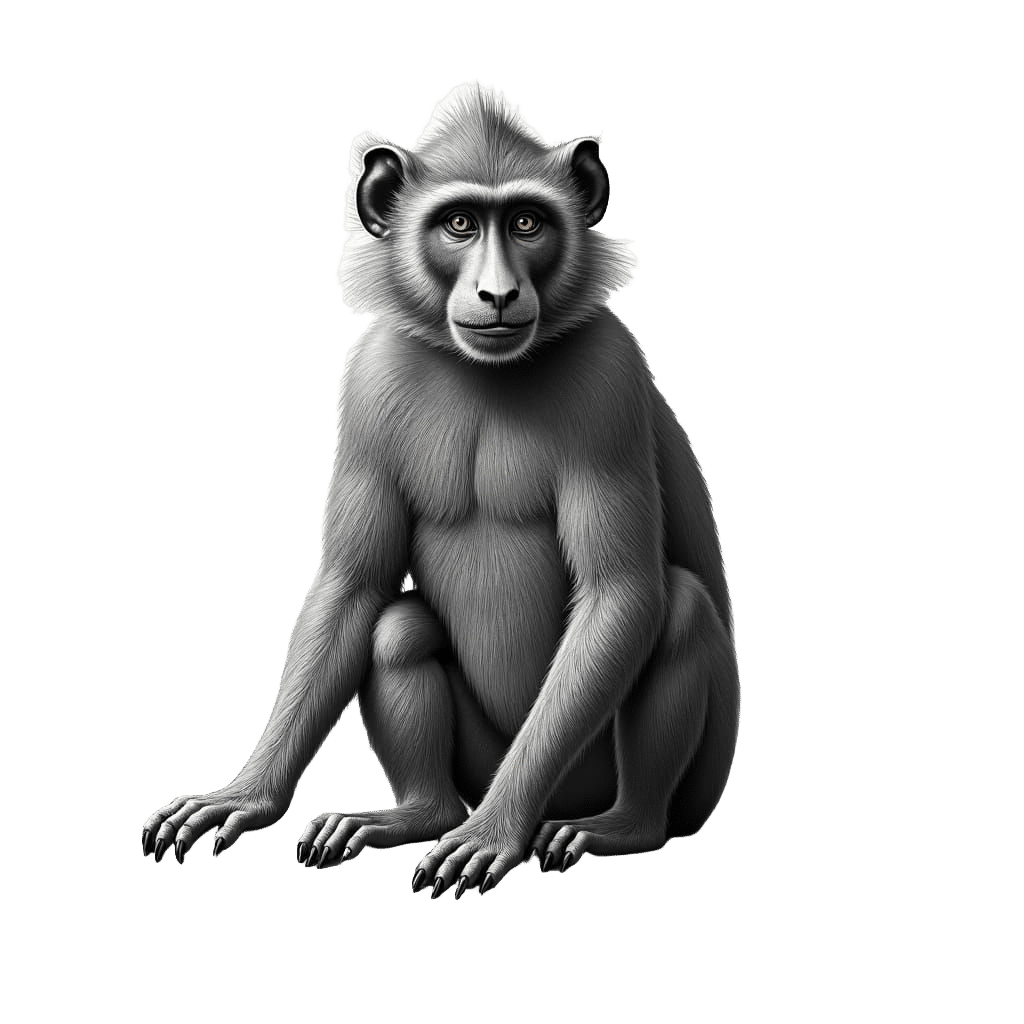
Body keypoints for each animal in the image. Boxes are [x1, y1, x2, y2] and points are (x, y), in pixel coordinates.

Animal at [141, 80, 741, 899]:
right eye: (458, 223)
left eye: (526, 222)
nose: (497, 292)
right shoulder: (368, 379)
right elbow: (352, 587)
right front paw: (249, 793)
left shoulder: (610, 374)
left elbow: (620, 592)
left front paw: (494, 833)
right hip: (481, 761)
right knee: (397, 628)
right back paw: (417, 812)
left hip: (616, 777)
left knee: (675, 609)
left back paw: (623, 825)